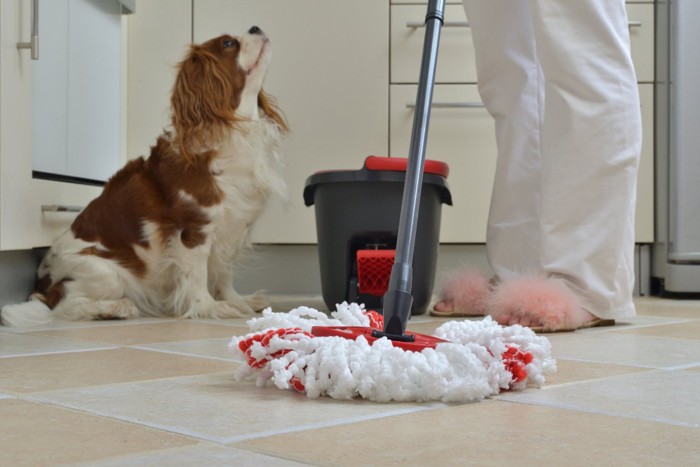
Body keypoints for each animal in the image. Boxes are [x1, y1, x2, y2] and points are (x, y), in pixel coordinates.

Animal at [1, 26, 288, 326]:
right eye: (229, 43)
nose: (256, 27)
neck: (235, 127)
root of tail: (42, 287)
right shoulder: (194, 228)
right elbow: (197, 275)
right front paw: (210, 307)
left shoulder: (233, 228)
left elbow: (223, 272)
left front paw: (235, 299)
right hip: (105, 274)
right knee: (64, 307)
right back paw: (115, 308)